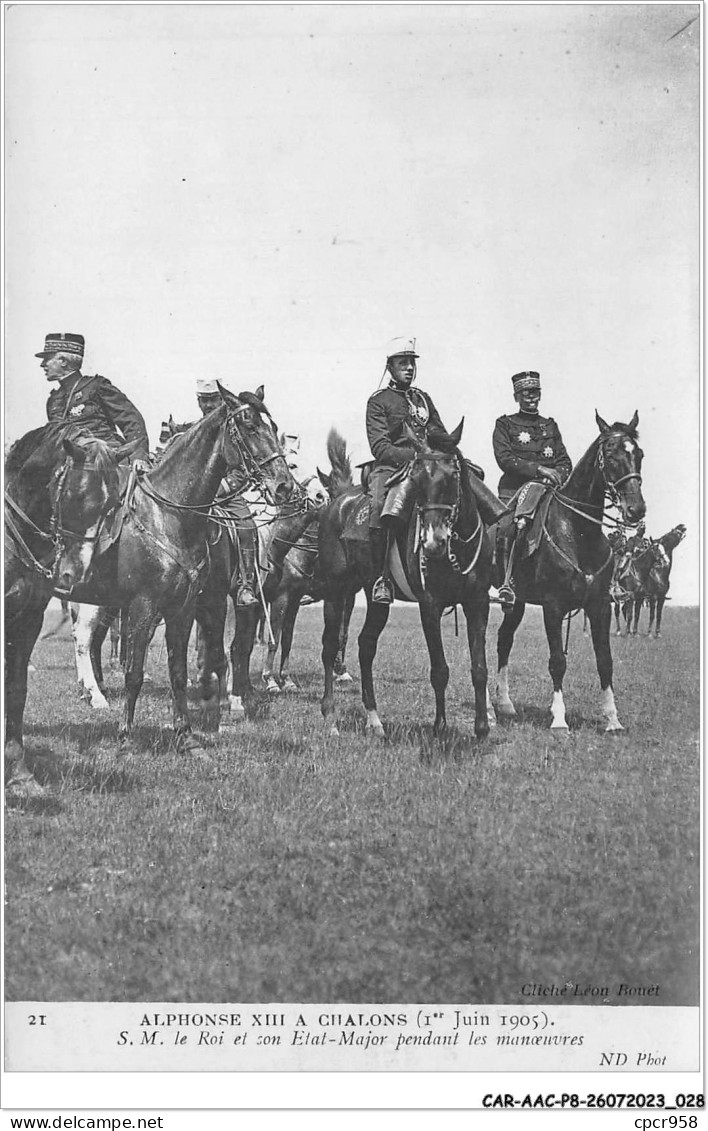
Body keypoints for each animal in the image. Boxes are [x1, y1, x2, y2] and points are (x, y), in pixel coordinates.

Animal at [4, 425, 137, 796]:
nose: (74, 576)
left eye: (112, 504)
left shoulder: (27, 622)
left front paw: (19, 776)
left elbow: (16, 691)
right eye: (77, 496)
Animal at [314, 425, 490, 741]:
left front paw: (482, 729)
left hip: (375, 596)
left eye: (452, 476)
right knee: (330, 645)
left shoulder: (478, 603)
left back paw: (374, 720)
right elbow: (439, 670)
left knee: (366, 645)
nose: (432, 542)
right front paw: (439, 727)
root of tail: (338, 503)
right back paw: (330, 718)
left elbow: (479, 668)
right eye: (417, 480)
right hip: (336, 592)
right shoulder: (430, 606)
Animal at [493, 409, 642, 732]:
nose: (637, 509)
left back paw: (506, 704)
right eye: (611, 456)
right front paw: (559, 718)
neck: (578, 531)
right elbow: (557, 661)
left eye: (639, 454)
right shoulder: (553, 607)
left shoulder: (600, 606)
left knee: (504, 640)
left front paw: (612, 718)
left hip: (517, 603)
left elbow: (605, 661)